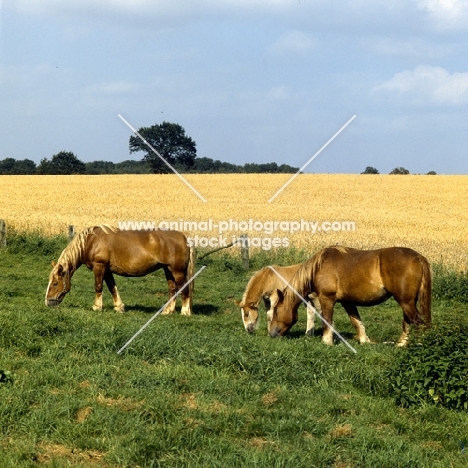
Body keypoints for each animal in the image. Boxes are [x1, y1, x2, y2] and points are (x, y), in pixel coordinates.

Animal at [44, 226, 195, 314]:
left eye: (55, 283)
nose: (48, 302)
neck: (90, 241)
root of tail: (184, 237)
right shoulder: (107, 270)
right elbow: (112, 287)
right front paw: (119, 307)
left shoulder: (99, 266)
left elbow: (98, 287)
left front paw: (97, 306)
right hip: (168, 270)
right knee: (172, 289)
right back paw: (168, 311)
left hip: (177, 271)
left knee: (184, 289)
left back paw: (185, 311)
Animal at [268, 247, 434, 346]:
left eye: (276, 310)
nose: (271, 333)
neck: (319, 266)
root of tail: (418, 257)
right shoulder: (348, 302)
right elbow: (357, 322)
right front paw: (364, 341)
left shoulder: (327, 299)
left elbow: (327, 321)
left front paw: (326, 342)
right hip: (408, 302)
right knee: (408, 322)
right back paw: (400, 344)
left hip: (405, 301)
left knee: (417, 322)